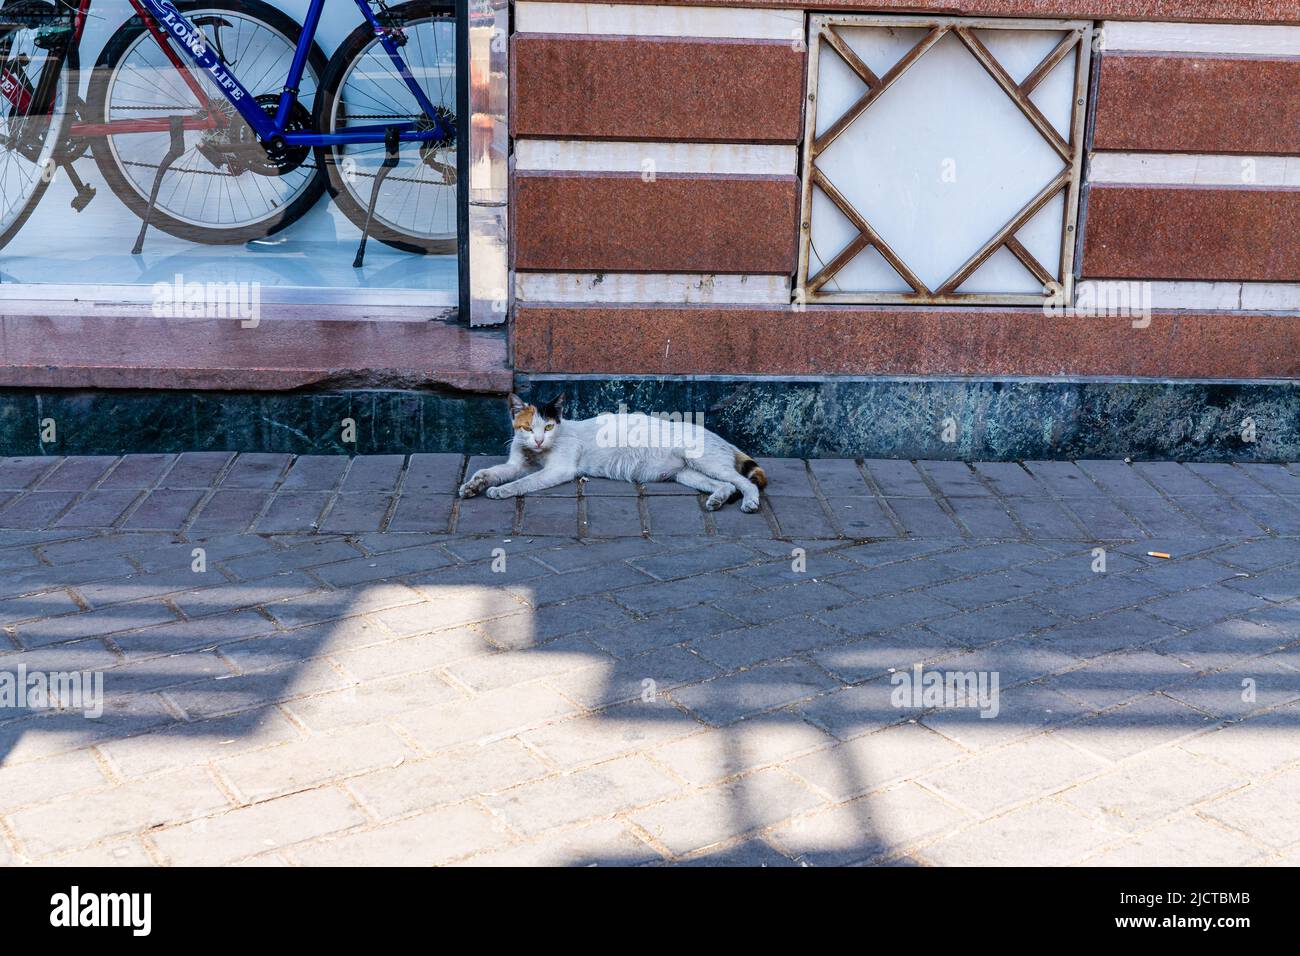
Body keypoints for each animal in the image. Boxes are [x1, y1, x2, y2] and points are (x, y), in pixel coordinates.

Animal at [457, 392, 764, 512]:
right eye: (527, 428)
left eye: (548, 426)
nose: (540, 440)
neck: (537, 454)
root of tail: (721, 438)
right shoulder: (517, 464)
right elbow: (491, 471)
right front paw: (473, 485)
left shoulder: (558, 470)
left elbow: (523, 482)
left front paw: (500, 491)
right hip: (688, 474)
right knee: (727, 485)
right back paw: (717, 500)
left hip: (705, 463)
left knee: (745, 483)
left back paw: (750, 503)